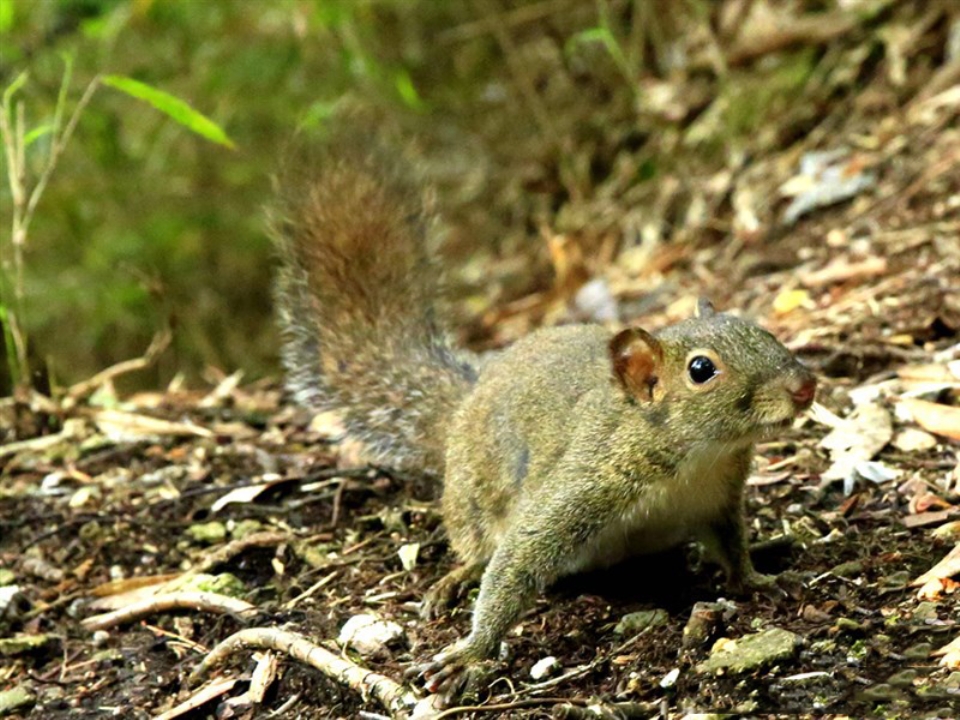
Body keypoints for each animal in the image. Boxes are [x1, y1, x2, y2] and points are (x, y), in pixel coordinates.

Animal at [270, 126, 816, 700]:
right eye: (701, 369)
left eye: (760, 329)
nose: (805, 386)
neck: (699, 457)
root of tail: (467, 402)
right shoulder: (586, 481)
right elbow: (518, 559)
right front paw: (472, 652)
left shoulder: (718, 499)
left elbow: (732, 544)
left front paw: (757, 579)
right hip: (473, 500)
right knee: (477, 548)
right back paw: (455, 579)